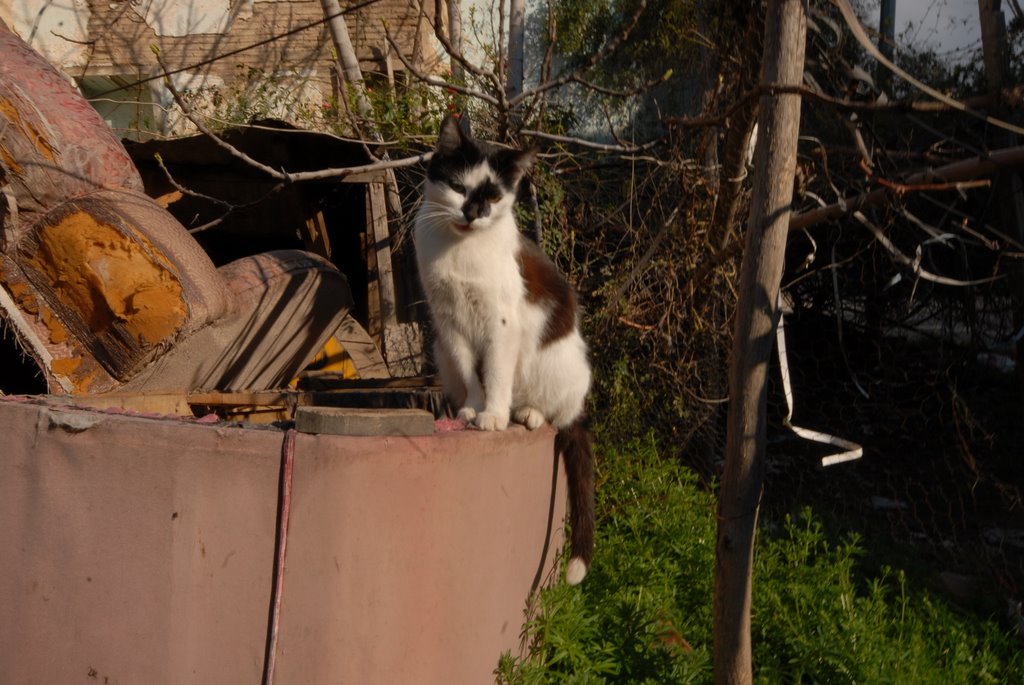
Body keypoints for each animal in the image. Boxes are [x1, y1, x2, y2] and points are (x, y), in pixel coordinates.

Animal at [413, 116, 598, 581]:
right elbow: (471, 374)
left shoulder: (500, 325)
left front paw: (493, 416)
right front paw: (473, 409)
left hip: (564, 368)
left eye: (493, 196)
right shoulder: (450, 324)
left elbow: (495, 372)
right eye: (458, 187)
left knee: (558, 416)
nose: (472, 212)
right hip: (440, 350)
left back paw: (525, 413)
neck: (460, 251)